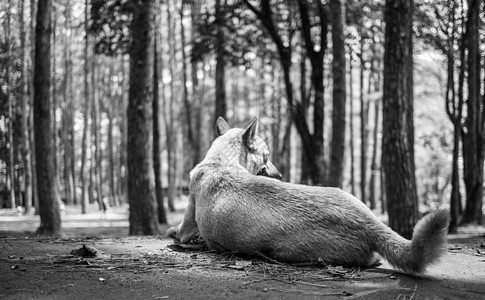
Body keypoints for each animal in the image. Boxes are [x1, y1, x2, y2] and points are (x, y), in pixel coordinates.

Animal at [167, 117, 450, 274]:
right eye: (267, 155)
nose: (280, 174)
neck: (221, 161)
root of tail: (368, 222)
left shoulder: (186, 228)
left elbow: (176, 230)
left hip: (287, 252)